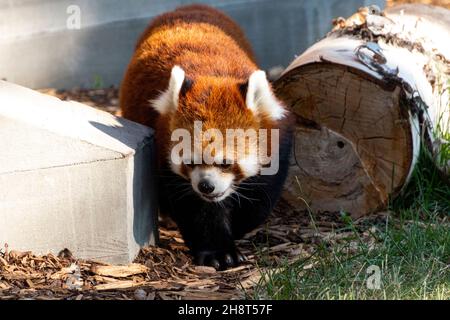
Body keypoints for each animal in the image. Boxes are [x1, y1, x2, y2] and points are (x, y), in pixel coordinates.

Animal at [119, 5, 294, 270]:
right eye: (190, 162)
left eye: (226, 163)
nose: (206, 186)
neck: (213, 77)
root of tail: (190, 7)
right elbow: (195, 208)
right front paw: (218, 251)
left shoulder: (277, 149)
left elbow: (260, 200)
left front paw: (238, 226)